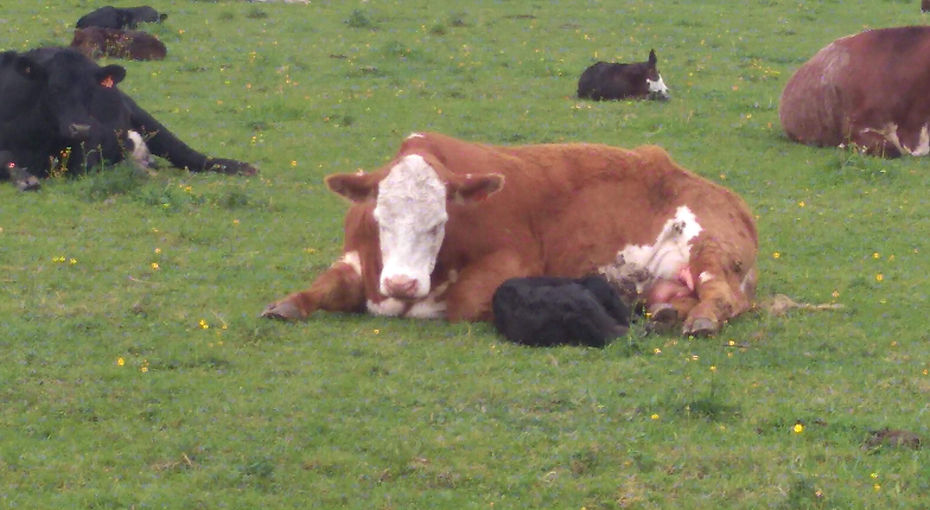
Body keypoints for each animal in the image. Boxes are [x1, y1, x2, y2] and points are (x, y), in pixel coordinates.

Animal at [0, 47, 255, 188]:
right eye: (54, 88)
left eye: (91, 91)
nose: (80, 128)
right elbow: (7, 157)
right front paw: (25, 179)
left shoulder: (91, 144)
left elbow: (87, 166)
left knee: (189, 155)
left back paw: (241, 167)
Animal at [261, 132, 757, 337]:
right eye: (379, 217)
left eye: (439, 222)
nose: (402, 283)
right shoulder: (357, 258)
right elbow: (325, 285)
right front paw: (286, 304)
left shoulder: (511, 264)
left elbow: (460, 304)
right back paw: (670, 313)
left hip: (709, 246)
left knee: (723, 297)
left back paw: (701, 318)